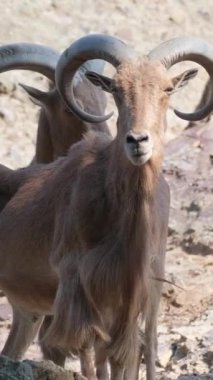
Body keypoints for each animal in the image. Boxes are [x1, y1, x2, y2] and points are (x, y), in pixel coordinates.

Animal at [0, 34, 212, 378]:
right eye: (116, 89)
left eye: (167, 88)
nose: (137, 141)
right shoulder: (79, 291)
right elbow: (91, 355)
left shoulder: (135, 293)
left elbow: (128, 355)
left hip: (31, 309)